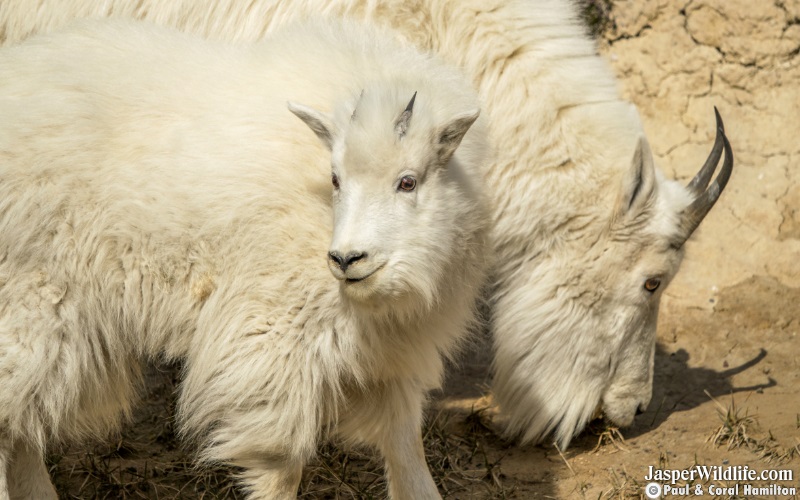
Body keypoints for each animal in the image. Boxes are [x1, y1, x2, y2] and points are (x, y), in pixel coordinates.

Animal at [0, 18, 488, 496]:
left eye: (408, 182)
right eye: (335, 177)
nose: (347, 259)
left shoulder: (391, 356)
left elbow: (408, 454)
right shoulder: (275, 342)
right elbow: (282, 471)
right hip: (30, 304)